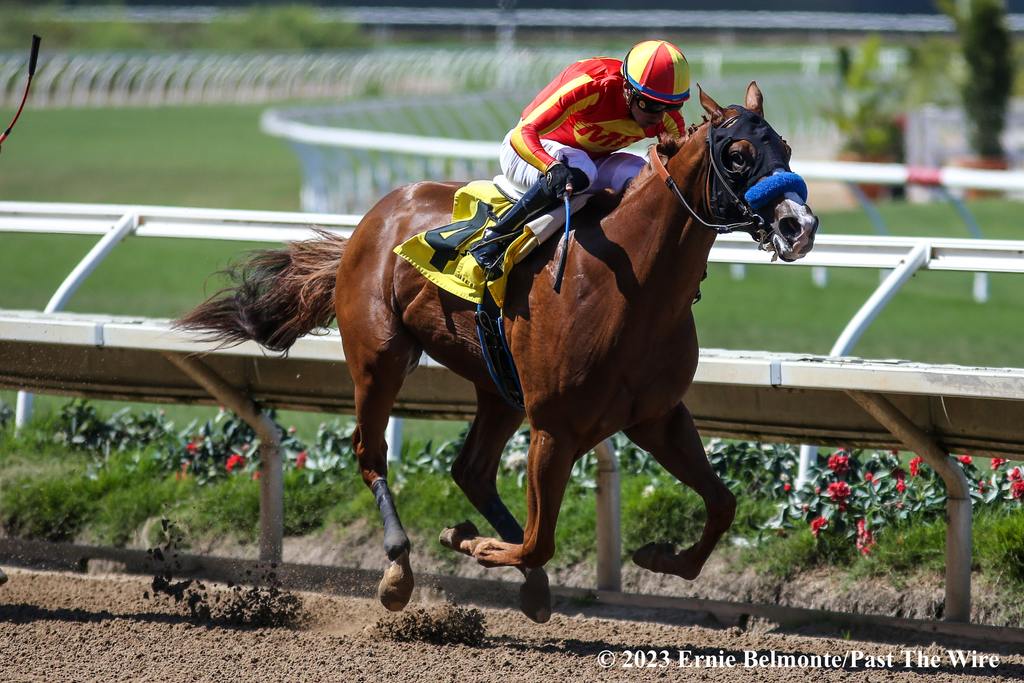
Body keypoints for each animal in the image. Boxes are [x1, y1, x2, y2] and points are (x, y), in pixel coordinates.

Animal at [176, 82, 815, 622]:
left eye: (783, 146)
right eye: (737, 154)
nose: (799, 225)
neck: (633, 286)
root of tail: (373, 218)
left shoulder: (656, 416)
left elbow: (722, 504)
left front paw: (659, 557)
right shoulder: (555, 427)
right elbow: (538, 541)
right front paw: (472, 542)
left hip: (500, 387)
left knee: (471, 470)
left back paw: (516, 578)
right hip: (380, 357)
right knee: (370, 452)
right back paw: (399, 569)